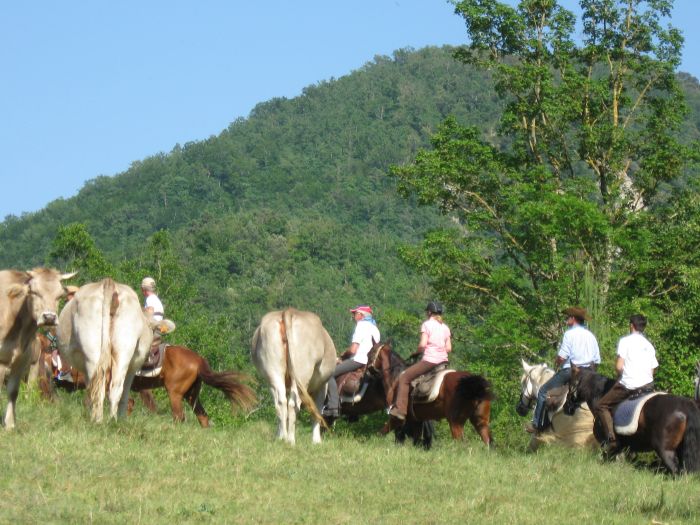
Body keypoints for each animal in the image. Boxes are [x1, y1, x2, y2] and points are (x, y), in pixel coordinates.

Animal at [0, 268, 75, 428]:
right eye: (34, 292)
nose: (49, 317)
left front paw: (9, 425)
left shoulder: (22, 360)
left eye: (59, 295)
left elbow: (13, 392)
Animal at [58, 278, 176, 422]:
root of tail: (109, 282)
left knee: (99, 388)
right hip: (123, 351)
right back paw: (111, 421)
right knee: (114, 389)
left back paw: (98, 420)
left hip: (94, 353)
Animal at [252, 310, 336, 444]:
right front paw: (316, 441)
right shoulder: (322, 385)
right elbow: (317, 410)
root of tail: (288, 311)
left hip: (273, 372)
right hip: (302, 373)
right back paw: (291, 440)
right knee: (293, 404)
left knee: (280, 402)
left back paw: (282, 438)